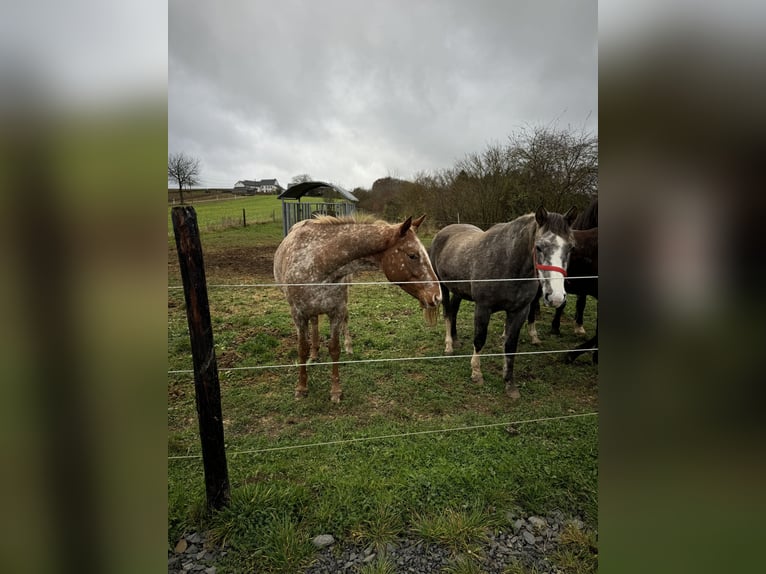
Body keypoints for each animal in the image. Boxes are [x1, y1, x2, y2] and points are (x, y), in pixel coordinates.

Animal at [276, 214, 444, 402]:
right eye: (412, 255)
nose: (437, 296)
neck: (318, 262)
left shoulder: (336, 311)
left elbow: (334, 349)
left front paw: (336, 391)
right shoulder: (298, 315)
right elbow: (302, 349)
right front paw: (301, 387)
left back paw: (346, 348)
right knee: (314, 322)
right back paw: (314, 354)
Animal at [428, 207, 580, 400]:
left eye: (571, 247)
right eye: (539, 246)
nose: (556, 297)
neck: (508, 264)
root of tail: (443, 232)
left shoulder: (519, 312)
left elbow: (510, 346)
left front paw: (509, 384)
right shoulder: (483, 308)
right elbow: (479, 340)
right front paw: (476, 373)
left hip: (458, 290)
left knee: (454, 311)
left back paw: (455, 341)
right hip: (443, 287)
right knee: (448, 314)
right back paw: (449, 346)